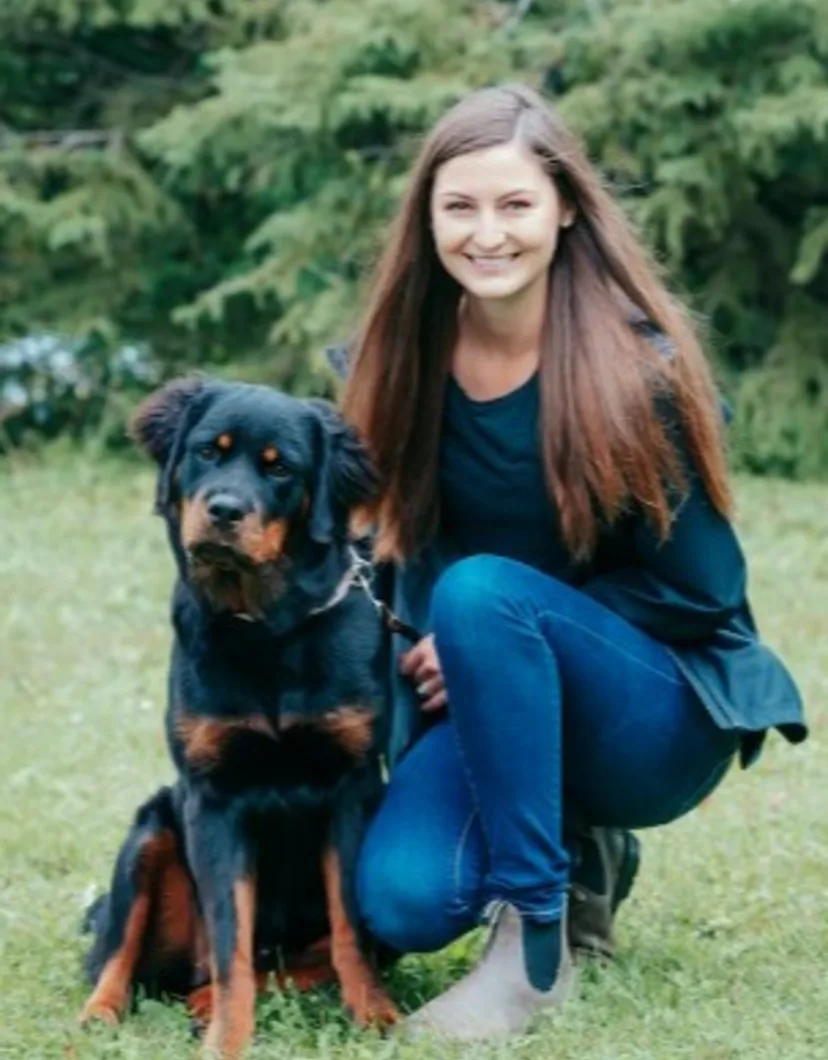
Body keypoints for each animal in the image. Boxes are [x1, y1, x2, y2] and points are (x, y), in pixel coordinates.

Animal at [78, 377, 400, 1055]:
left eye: (281, 469)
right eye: (207, 451)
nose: (225, 510)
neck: (268, 632)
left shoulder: (355, 788)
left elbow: (351, 928)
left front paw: (376, 1015)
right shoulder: (213, 798)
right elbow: (231, 945)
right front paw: (228, 1039)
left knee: (297, 961)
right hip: (152, 829)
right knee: (122, 952)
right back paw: (102, 1015)